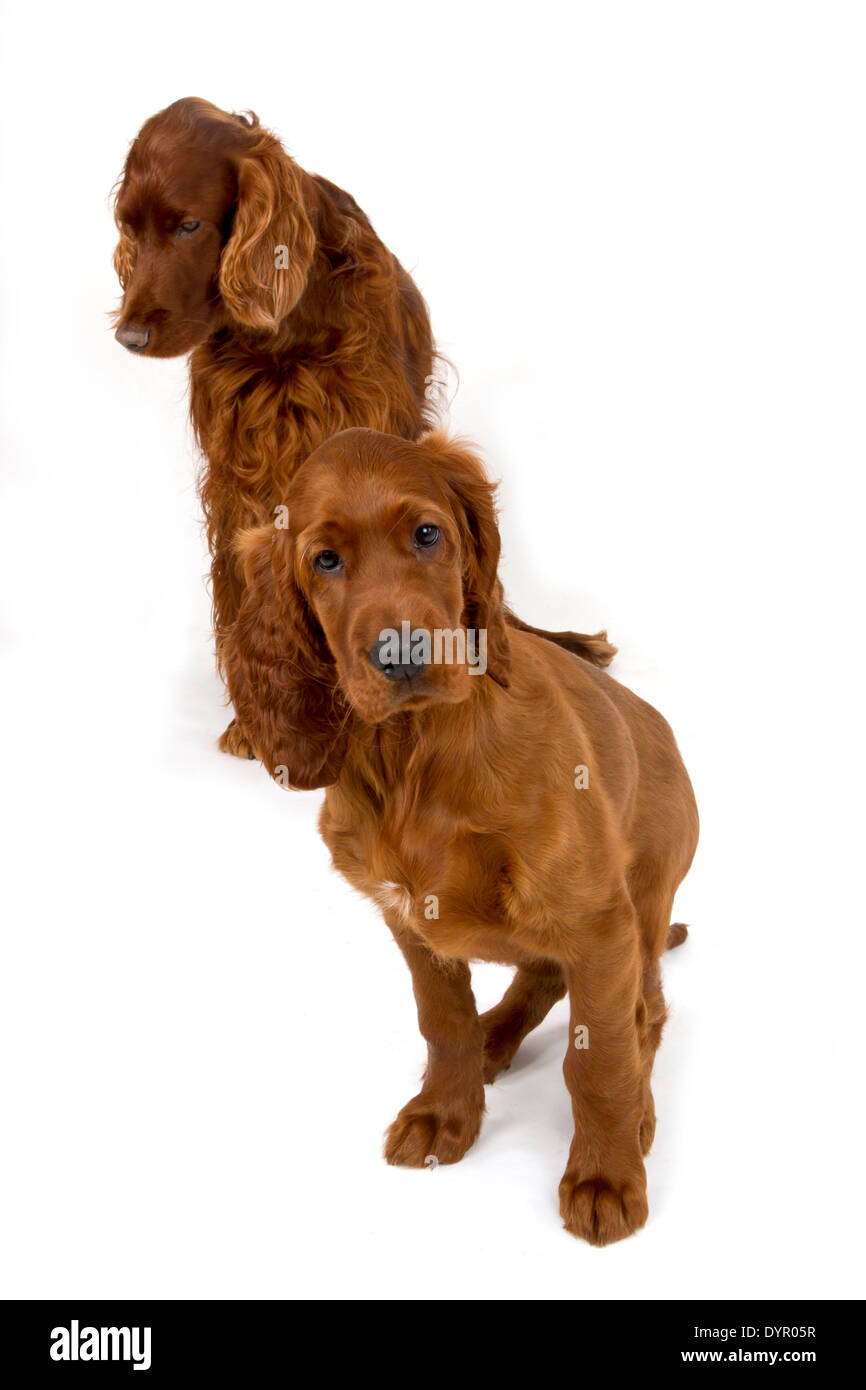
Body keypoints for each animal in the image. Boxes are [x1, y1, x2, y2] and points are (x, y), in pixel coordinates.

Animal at [113, 99, 617, 756]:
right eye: (128, 227)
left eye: (188, 226)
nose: (128, 336)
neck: (286, 331)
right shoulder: (235, 471)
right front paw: (255, 722)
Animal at [222, 428, 697, 1245]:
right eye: (326, 560)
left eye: (427, 534)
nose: (404, 653)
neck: (417, 752)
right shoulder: (409, 917)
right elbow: (441, 1020)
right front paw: (446, 1112)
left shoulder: (597, 917)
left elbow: (601, 1056)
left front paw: (605, 1173)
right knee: (540, 978)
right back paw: (494, 1038)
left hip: (646, 896)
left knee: (645, 1010)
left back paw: (632, 1110)